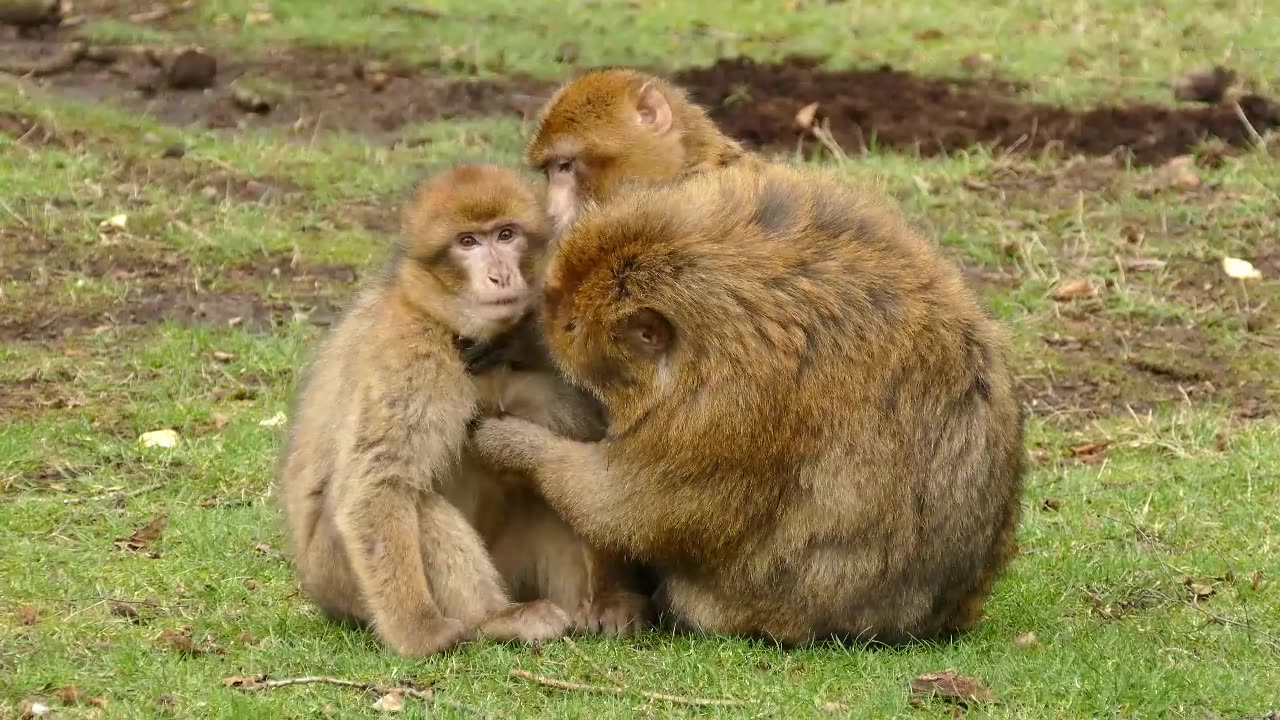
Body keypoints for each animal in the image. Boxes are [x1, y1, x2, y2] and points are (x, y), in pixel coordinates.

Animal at [273, 163, 645, 655]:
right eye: (467, 242)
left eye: (505, 234)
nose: (500, 275)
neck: (457, 332)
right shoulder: (411, 355)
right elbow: (377, 488)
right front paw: (418, 633)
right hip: (338, 576)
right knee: (417, 504)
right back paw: (494, 619)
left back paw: (598, 602)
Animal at [471, 162, 1029, 645]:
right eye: (554, 304)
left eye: (570, 326)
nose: (545, 321)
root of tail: (939, 616)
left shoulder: (721, 412)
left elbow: (627, 506)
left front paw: (513, 444)